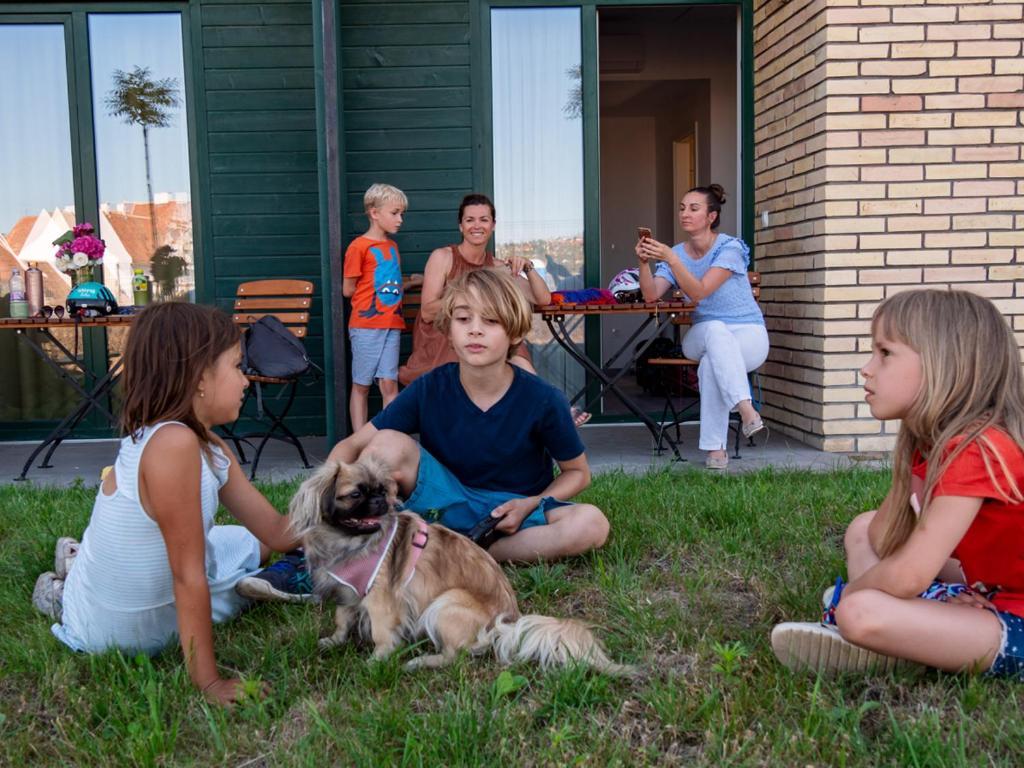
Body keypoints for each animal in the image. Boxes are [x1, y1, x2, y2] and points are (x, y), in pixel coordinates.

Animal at [290, 460, 630, 675]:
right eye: (356, 494)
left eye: (381, 491)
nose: (380, 501)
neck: (348, 542)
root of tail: (505, 623)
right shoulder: (348, 591)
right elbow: (342, 620)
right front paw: (334, 641)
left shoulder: (380, 600)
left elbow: (382, 634)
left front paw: (376, 662)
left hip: (445, 603)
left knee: (457, 656)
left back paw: (421, 662)